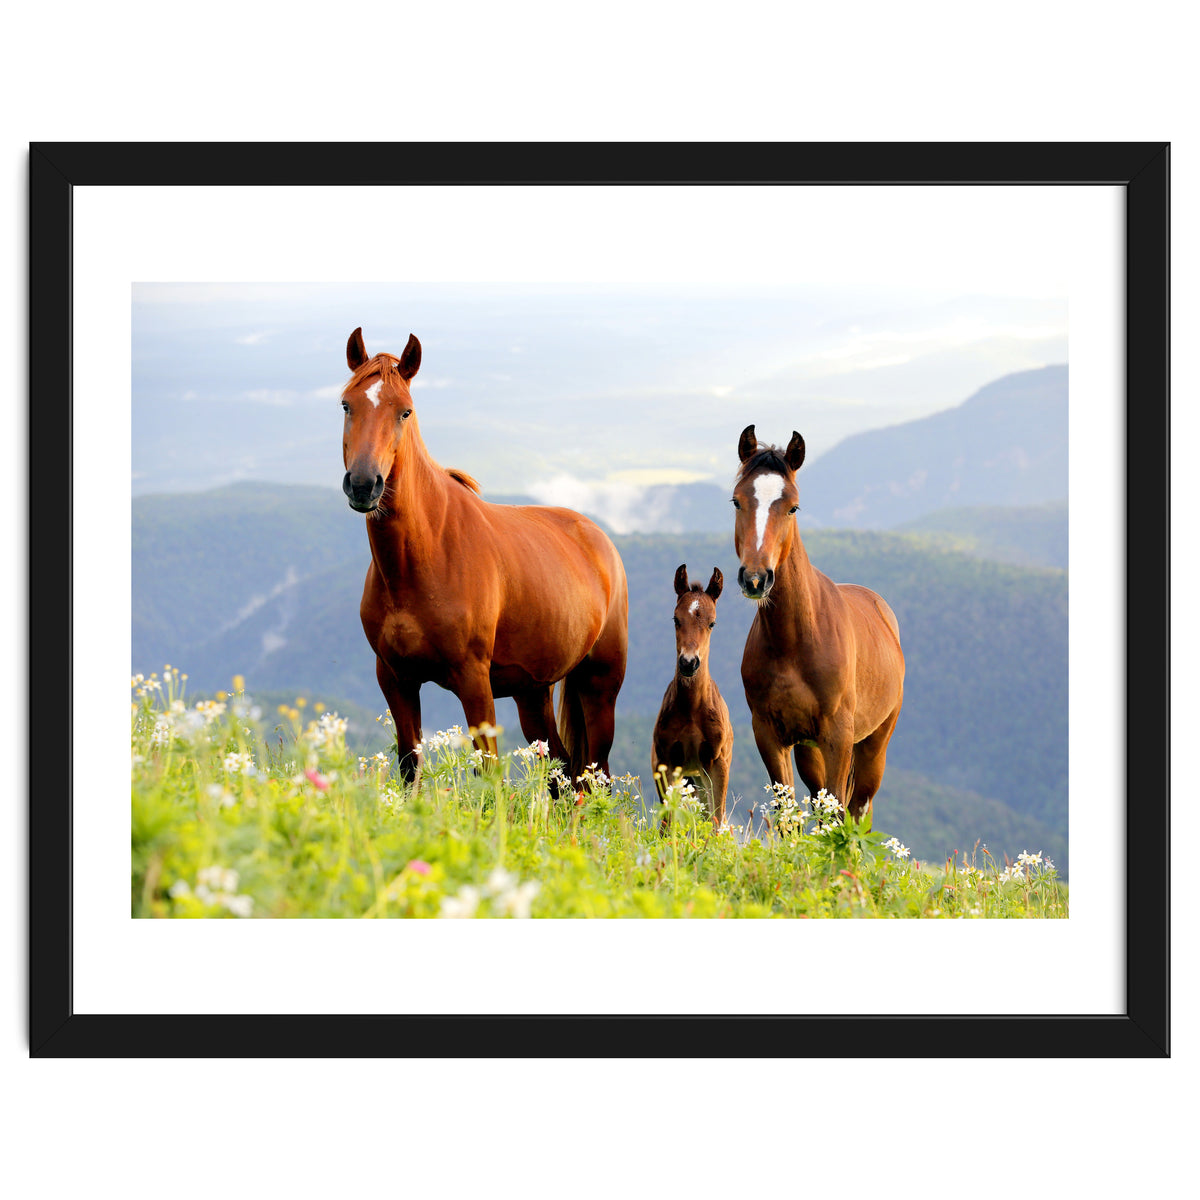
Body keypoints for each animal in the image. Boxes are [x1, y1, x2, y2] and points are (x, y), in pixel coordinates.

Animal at [339, 327, 628, 784]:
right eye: (347, 404)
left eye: (405, 412)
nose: (365, 484)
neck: (423, 558)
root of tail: (600, 540)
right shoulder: (395, 678)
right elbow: (409, 766)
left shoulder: (474, 680)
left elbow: (489, 773)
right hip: (533, 692)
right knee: (561, 770)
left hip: (600, 685)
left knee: (592, 775)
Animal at [651, 565, 734, 828]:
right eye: (676, 619)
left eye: (712, 623)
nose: (689, 662)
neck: (691, 709)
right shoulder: (666, 762)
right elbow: (667, 822)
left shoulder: (717, 763)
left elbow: (716, 820)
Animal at [732, 425, 904, 821]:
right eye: (737, 501)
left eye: (793, 506)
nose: (755, 579)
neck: (794, 641)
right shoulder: (770, 735)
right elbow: (787, 813)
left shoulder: (837, 737)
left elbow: (840, 811)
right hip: (809, 750)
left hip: (874, 744)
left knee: (859, 808)